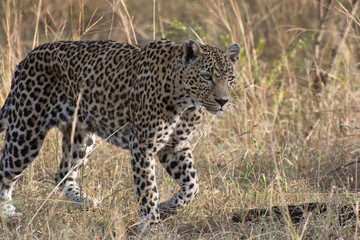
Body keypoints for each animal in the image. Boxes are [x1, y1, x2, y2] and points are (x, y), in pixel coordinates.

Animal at [0, 38, 242, 230]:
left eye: (230, 78)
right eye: (206, 76)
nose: (223, 101)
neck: (187, 101)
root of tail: (27, 58)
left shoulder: (175, 146)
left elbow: (192, 185)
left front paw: (166, 209)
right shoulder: (144, 145)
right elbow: (148, 189)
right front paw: (151, 226)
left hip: (80, 135)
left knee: (63, 174)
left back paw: (87, 202)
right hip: (26, 132)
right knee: (6, 171)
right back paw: (8, 213)